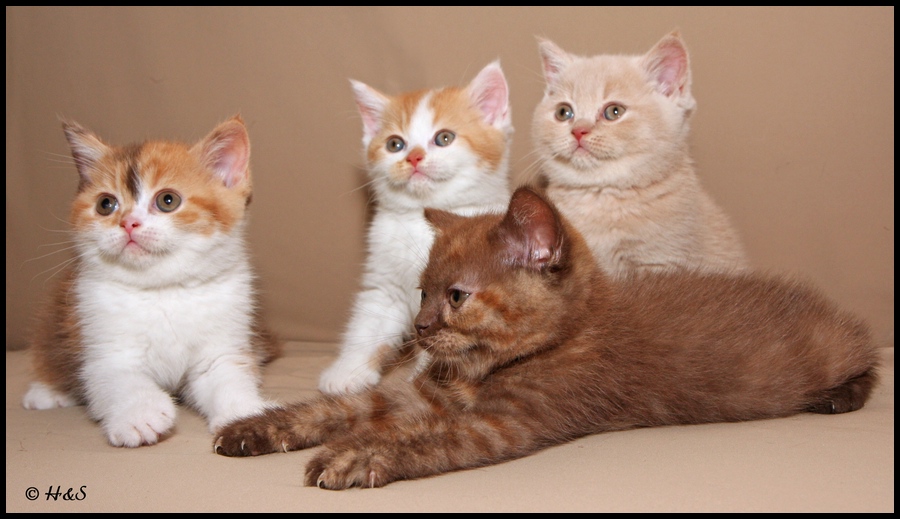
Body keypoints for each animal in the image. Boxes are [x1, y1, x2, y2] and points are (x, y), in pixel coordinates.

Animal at [21, 116, 281, 448]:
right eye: (106, 204)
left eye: (168, 200)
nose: (128, 223)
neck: (163, 290)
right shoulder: (101, 341)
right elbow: (120, 379)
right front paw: (139, 414)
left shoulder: (223, 342)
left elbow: (226, 377)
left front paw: (248, 414)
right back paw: (47, 392)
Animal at [213, 186, 879, 490]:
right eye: (421, 293)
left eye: (457, 297)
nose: (422, 330)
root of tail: (816, 302)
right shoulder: (418, 394)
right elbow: (338, 408)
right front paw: (256, 427)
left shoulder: (504, 424)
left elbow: (426, 440)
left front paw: (355, 455)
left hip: (832, 347)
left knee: (866, 348)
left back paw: (840, 395)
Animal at [317, 60, 513, 395]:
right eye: (395, 144)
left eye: (444, 138)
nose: (414, 157)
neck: (420, 220)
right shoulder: (385, 281)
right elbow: (368, 322)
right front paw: (348, 372)